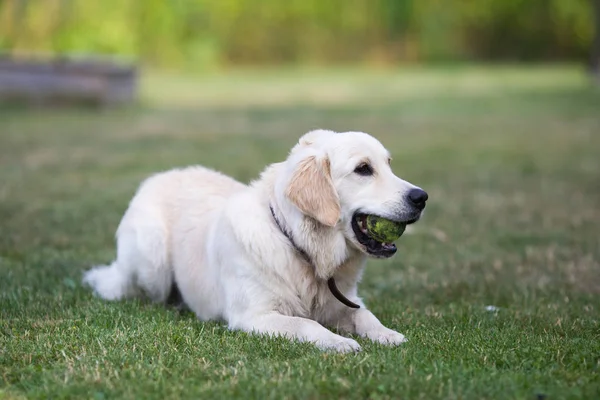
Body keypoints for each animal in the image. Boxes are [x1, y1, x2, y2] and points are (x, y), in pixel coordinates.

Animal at [84, 130, 426, 352]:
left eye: (389, 164)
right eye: (363, 169)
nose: (421, 197)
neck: (300, 247)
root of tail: (157, 176)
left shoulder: (342, 300)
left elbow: (364, 313)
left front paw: (387, 334)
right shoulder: (255, 315)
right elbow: (306, 324)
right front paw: (339, 342)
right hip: (151, 260)